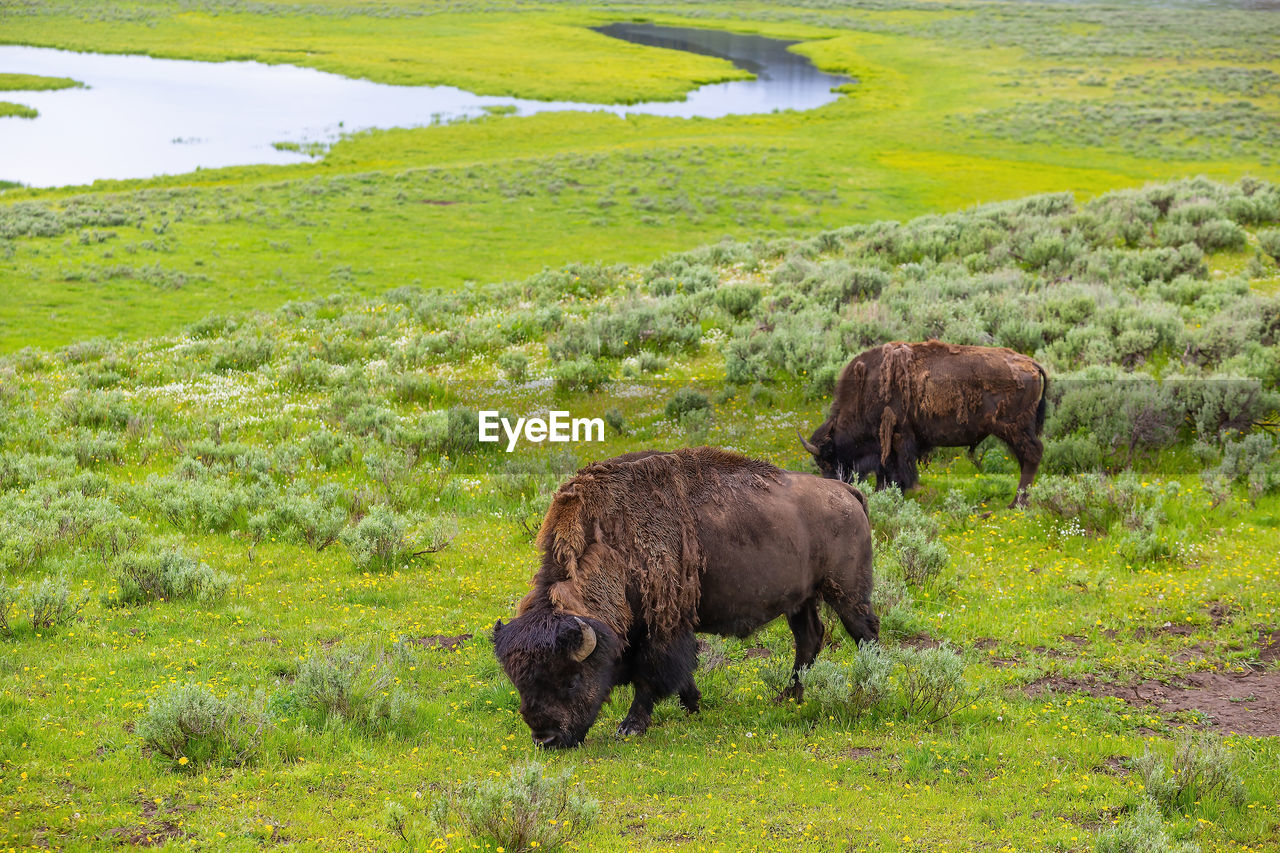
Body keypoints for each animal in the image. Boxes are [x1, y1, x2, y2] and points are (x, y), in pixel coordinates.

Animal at [491, 448, 880, 747]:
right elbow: (681, 672)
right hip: (800, 600)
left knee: (866, 634)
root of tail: (846, 490)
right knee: (809, 640)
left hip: (846, 592)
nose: (546, 739)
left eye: (570, 679)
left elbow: (651, 674)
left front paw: (630, 726)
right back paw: (787, 696)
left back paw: (870, 687)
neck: (610, 542)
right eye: (519, 683)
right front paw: (692, 704)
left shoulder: (660, 627)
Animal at [798, 338, 1049, 504]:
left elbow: (897, 471)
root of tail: (1032, 364)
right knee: (1026, 459)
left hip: (1013, 428)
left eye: (827, 462)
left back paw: (1017, 504)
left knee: (1032, 454)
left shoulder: (897, 438)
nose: (833, 489)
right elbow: (885, 472)